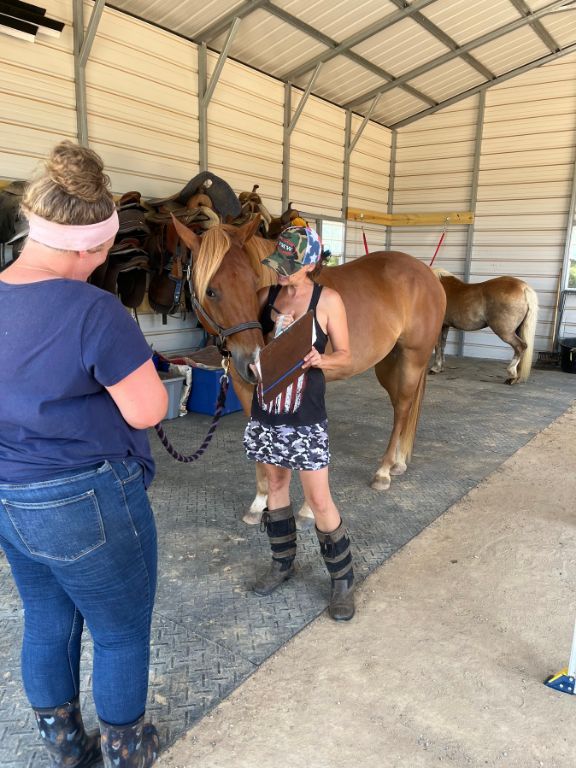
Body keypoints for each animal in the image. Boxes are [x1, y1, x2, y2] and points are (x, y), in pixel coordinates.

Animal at [172, 215, 446, 528]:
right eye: (211, 291)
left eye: (252, 283)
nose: (254, 361)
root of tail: (427, 273)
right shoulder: (247, 388)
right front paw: (261, 501)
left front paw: (305, 510)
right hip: (389, 364)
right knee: (404, 405)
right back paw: (399, 462)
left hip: (413, 358)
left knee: (402, 408)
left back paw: (384, 471)